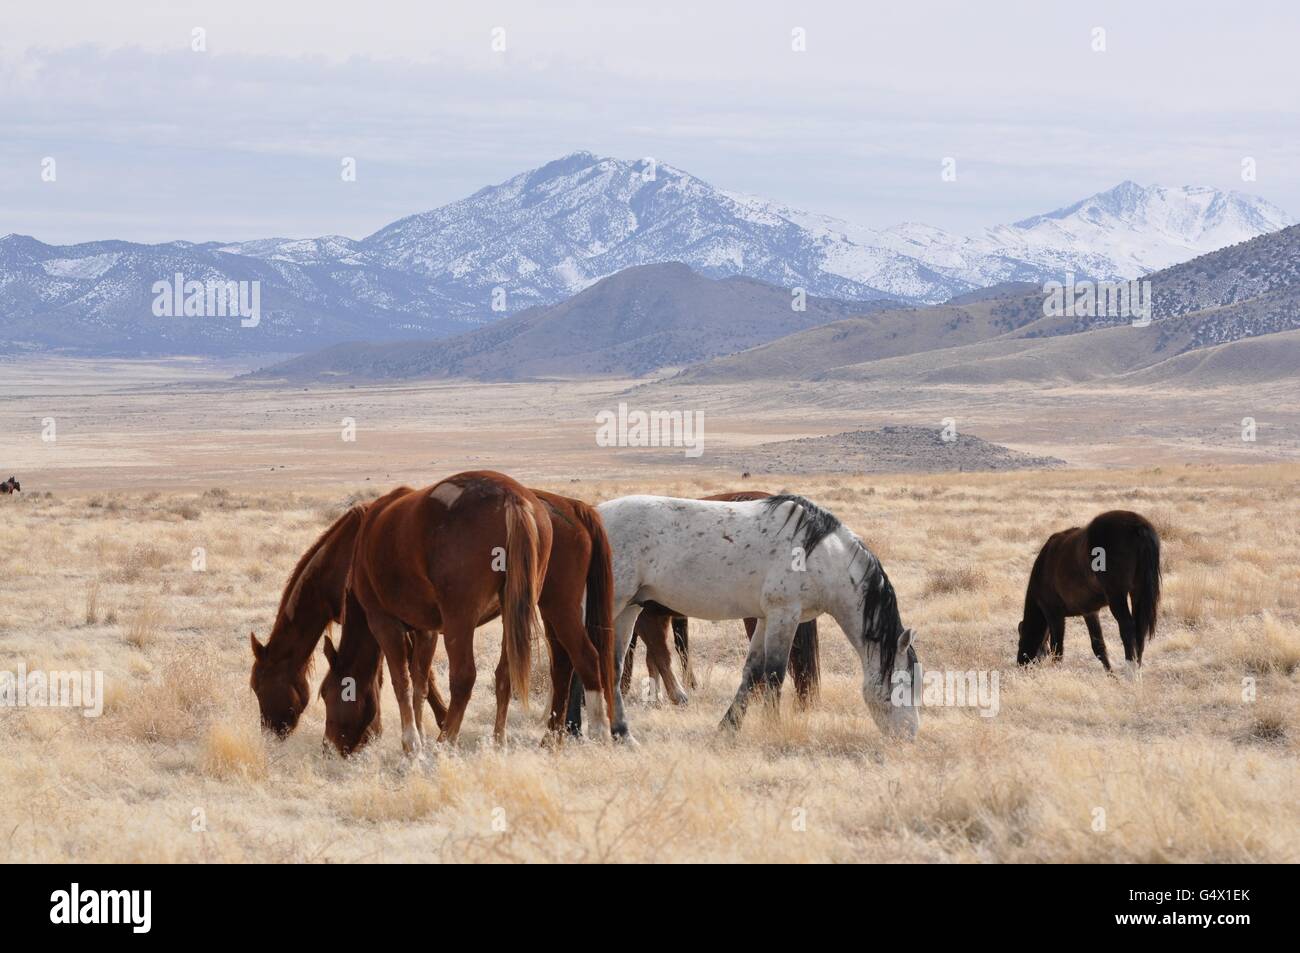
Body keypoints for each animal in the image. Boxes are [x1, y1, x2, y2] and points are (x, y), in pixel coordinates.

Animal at [1016, 510, 1161, 678]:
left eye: (1020, 641)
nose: (1020, 665)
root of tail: (1137, 525)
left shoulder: (1054, 614)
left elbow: (1057, 649)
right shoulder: (1090, 612)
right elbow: (1098, 646)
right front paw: (1111, 675)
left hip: (1117, 596)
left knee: (1127, 627)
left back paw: (1130, 671)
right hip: (1137, 592)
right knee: (1140, 628)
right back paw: (1137, 669)